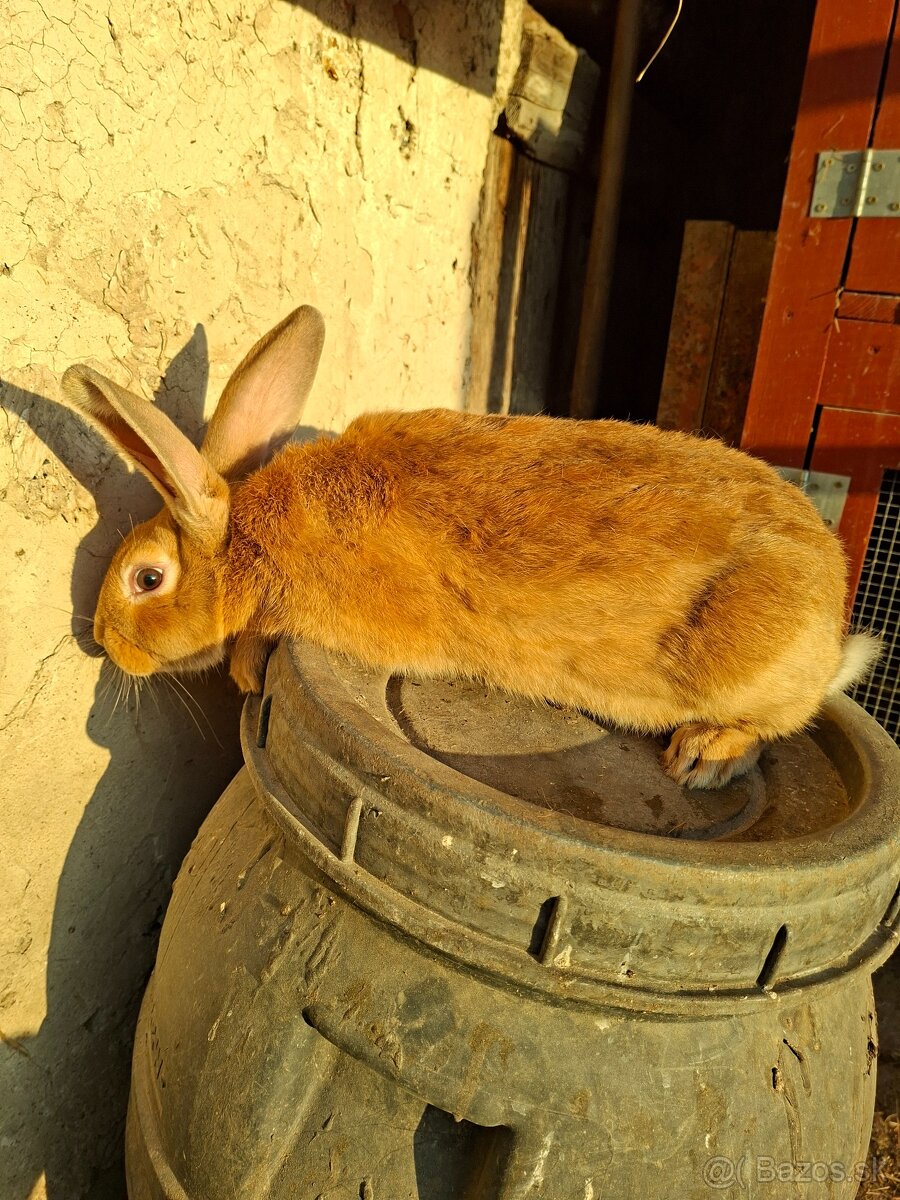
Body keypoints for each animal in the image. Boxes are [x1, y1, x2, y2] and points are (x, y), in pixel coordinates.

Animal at [58, 305, 879, 789]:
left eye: (147, 579)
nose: (100, 640)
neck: (252, 543)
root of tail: (828, 636)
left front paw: (248, 663)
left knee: (779, 722)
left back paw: (705, 756)